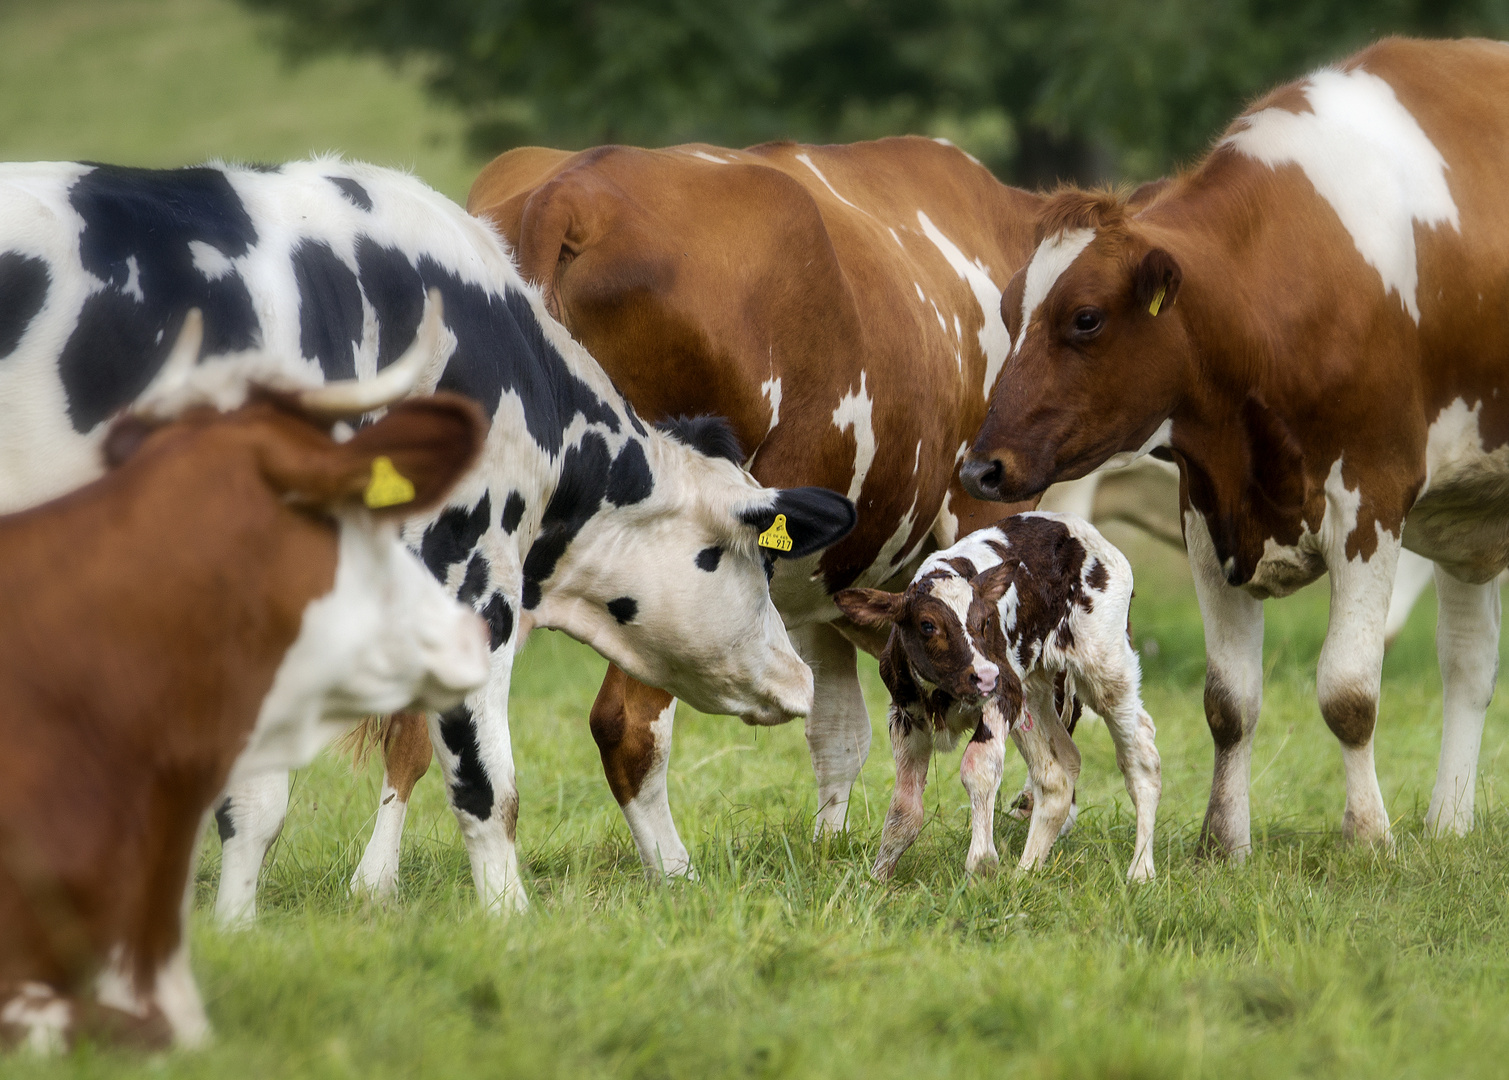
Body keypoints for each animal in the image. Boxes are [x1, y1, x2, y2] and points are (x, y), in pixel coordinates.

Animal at [0, 158, 857, 917]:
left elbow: (252, 801)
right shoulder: (467, 578)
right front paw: (509, 921)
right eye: (751, 557)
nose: (796, 677)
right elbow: (487, 787)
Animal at [832, 515, 1158, 886]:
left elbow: (978, 766)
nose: (985, 676)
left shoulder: (1003, 693)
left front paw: (982, 865)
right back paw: (1026, 873)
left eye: (985, 621)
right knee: (1057, 773)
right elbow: (904, 808)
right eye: (928, 625)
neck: (944, 693)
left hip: (1104, 667)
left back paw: (1141, 871)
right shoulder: (906, 715)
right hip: (1033, 691)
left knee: (1141, 755)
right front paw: (877, 880)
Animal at [965, 37, 1509, 856]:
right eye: (1006, 309)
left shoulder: (1372, 498)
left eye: (1086, 318)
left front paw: (1367, 836)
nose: (981, 465)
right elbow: (1229, 701)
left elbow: (1349, 691)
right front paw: (1222, 842)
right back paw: (1448, 824)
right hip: (1466, 512)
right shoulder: (1208, 508)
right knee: (1469, 661)